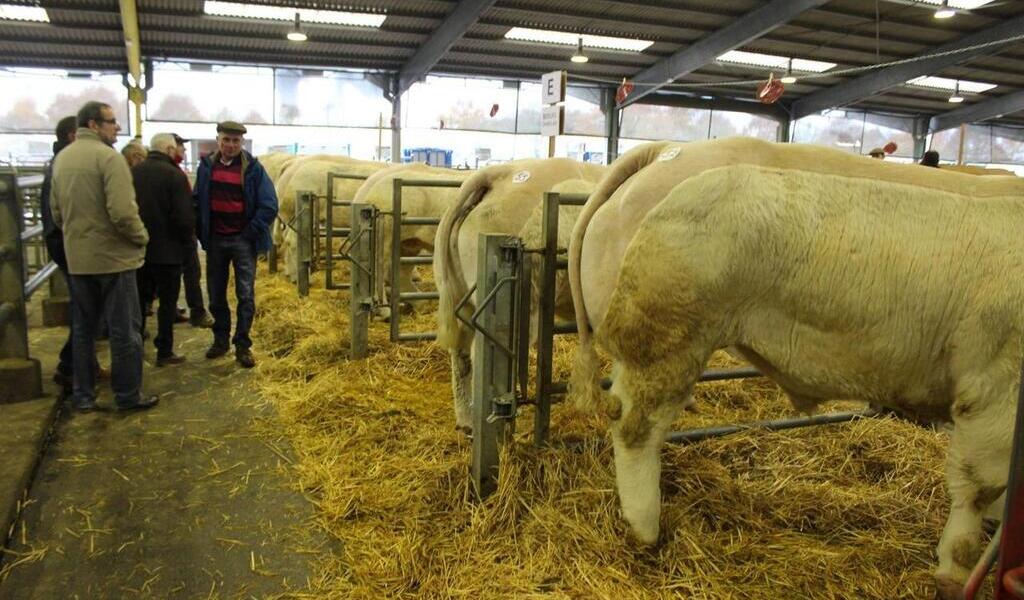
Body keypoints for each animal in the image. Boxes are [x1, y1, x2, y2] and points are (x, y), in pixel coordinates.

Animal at [569, 139, 1024, 593]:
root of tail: (662, 152)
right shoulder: (995, 389)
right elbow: (980, 488)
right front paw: (955, 574)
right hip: (667, 339)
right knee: (635, 426)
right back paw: (645, 529)